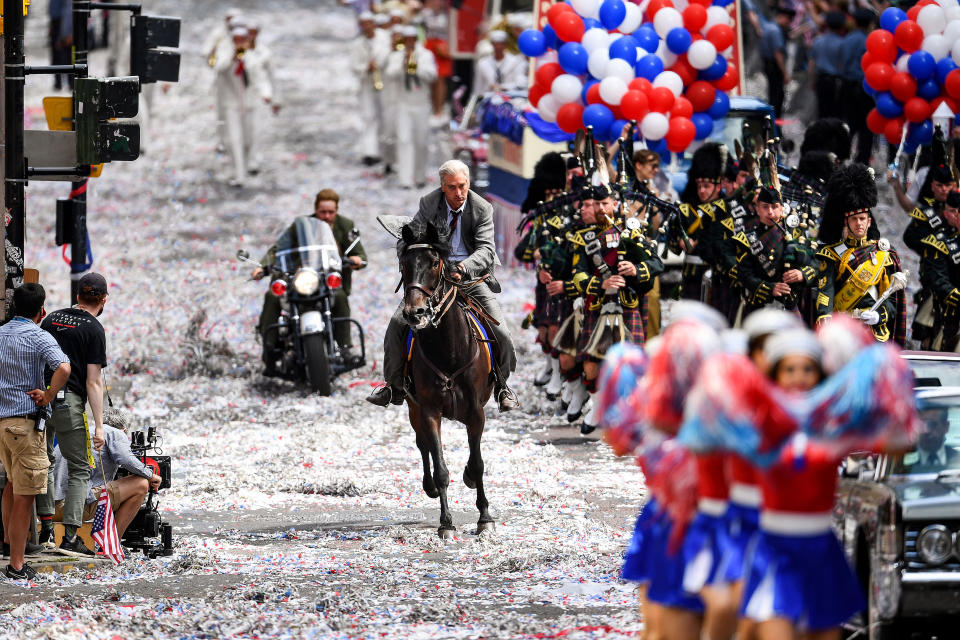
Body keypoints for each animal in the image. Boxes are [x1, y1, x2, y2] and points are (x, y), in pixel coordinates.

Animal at [400, 222, 496, 536]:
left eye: (434, 263)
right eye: (404, 264)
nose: (414, 312)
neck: (449, 348)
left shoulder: (476, 412)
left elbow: (477, 463)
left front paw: (484, 518)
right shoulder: (429, 410)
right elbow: (440, 466)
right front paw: (446, 523)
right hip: (413, 406)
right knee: (423, 444)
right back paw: (429, 486)